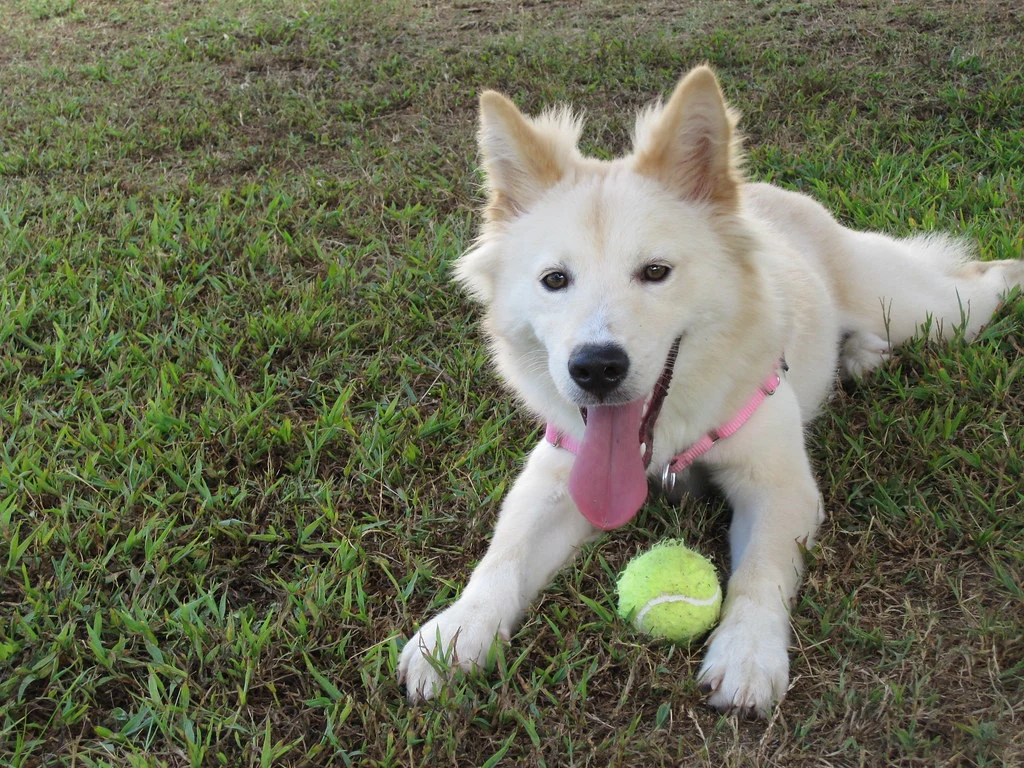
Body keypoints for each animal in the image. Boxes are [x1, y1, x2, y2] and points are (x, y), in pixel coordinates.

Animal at [395, 67, 1019, 720]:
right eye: (554, 280)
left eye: (655, 272)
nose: (595, 368)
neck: (667, 438)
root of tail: (770, 193)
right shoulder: (557, 473)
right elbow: (503, 557)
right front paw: (457, 633)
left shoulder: (779, 486)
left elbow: (759, 574)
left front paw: (747, 656)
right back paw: (859, 355)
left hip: (918, 309)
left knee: (976, 284)